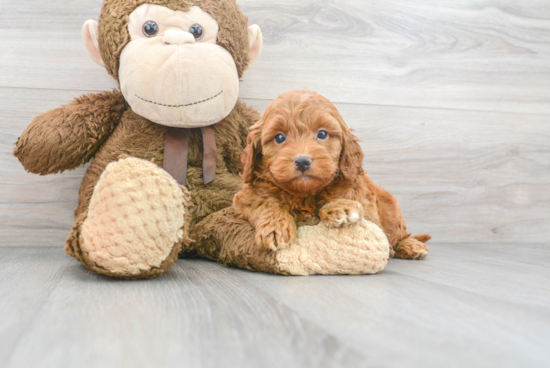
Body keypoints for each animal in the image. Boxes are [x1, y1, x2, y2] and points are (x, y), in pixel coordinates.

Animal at [233, 90, 432, 260]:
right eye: (279, 138)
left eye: (322, 134)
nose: (302, 161)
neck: (304, 195)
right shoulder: (245, 197)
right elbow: (264, 203)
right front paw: (275, 228)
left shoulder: (365, 204)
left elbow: (345, 197)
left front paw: (340, 207)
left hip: (393, 211)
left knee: (400, 234)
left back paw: (411, 246)